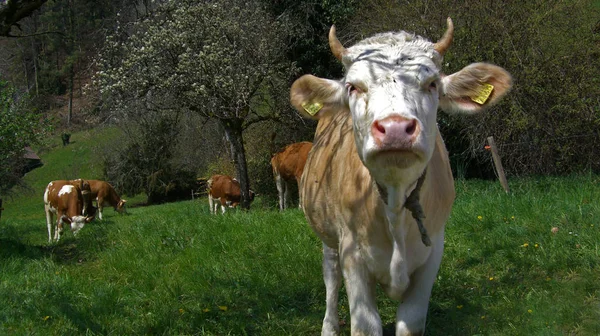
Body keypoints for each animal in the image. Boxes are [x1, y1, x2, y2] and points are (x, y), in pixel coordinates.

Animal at [290, 19, 510, 336]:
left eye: (432, 84)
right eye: (353, 87)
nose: (395, 128)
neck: (394, 204)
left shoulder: (434, 249)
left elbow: (411, 319)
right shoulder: (351, 252)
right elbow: (365, 323)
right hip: (328, 236)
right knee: (330, 278)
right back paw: (329, 326)